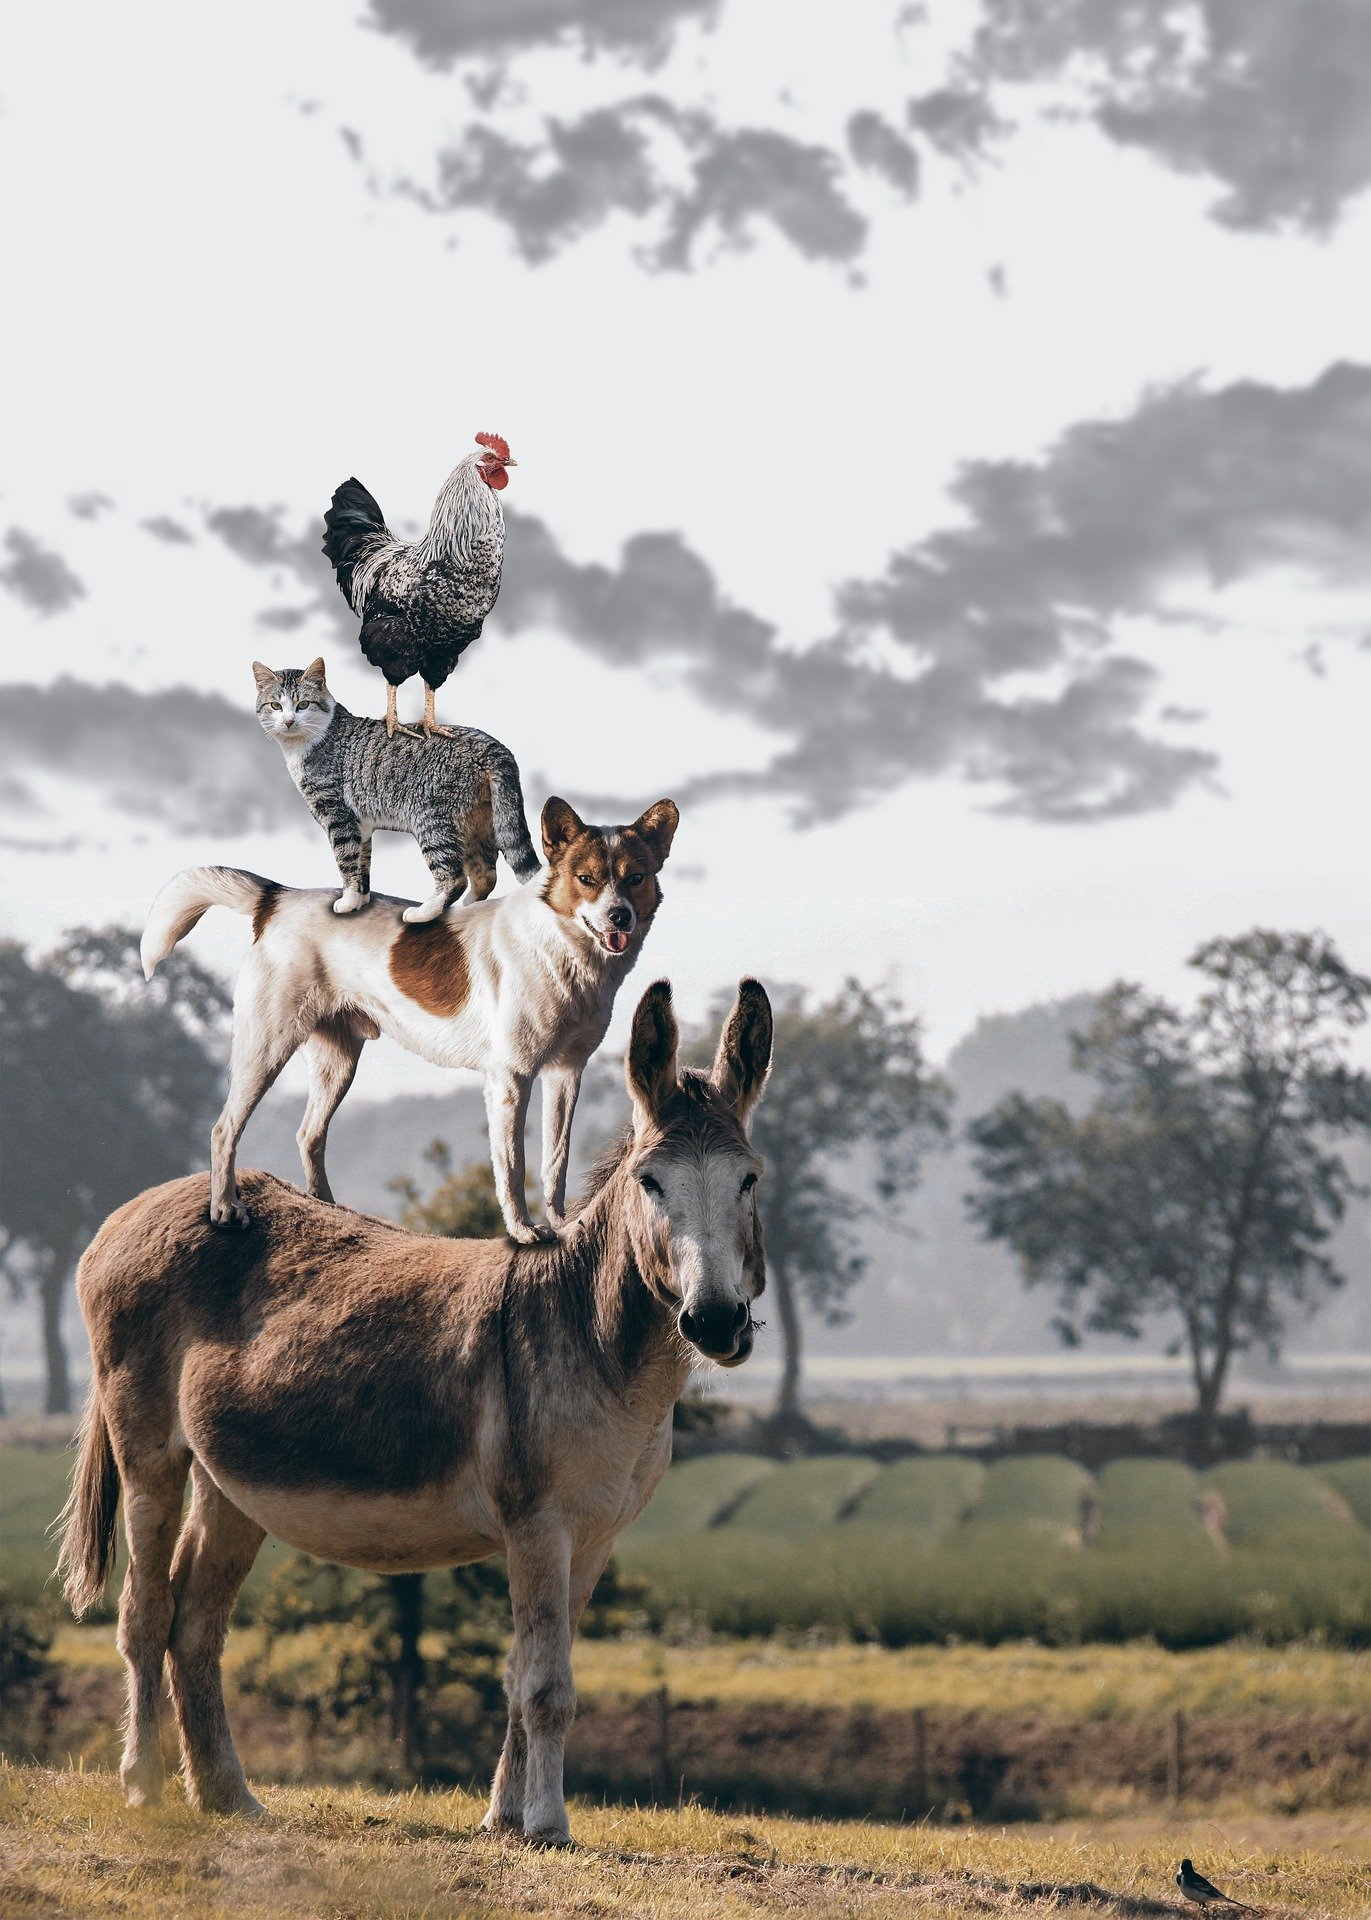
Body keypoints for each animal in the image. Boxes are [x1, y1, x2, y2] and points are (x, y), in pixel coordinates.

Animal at [139, 794, 672, 1244]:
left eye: (635, 878)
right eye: (587, 879)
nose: (620, 916)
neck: (561, 946)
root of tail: (277, 899)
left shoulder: (565, 1074)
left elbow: (555, 1160)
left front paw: (561, 1222)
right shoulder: (511, 1079)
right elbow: (513, 1165)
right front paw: (523, 1231)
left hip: (337, 1063)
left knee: (309, 1135)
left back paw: (332, 1211)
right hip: (265, 1049)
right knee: (225, 1128)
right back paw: (225, 1208)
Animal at [255, 660, 537, 921]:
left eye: (303, 705)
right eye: (275, 706)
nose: (288, 721)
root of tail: (491, 746)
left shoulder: (338, 816)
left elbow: (346, 860)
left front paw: (347, 901)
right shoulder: (361, 824)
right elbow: (362, 864)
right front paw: (359, 901)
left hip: (432, 819)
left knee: (454, 877)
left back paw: (423, 913)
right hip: (478, 822)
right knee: (486, 873)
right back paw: (470, 909)